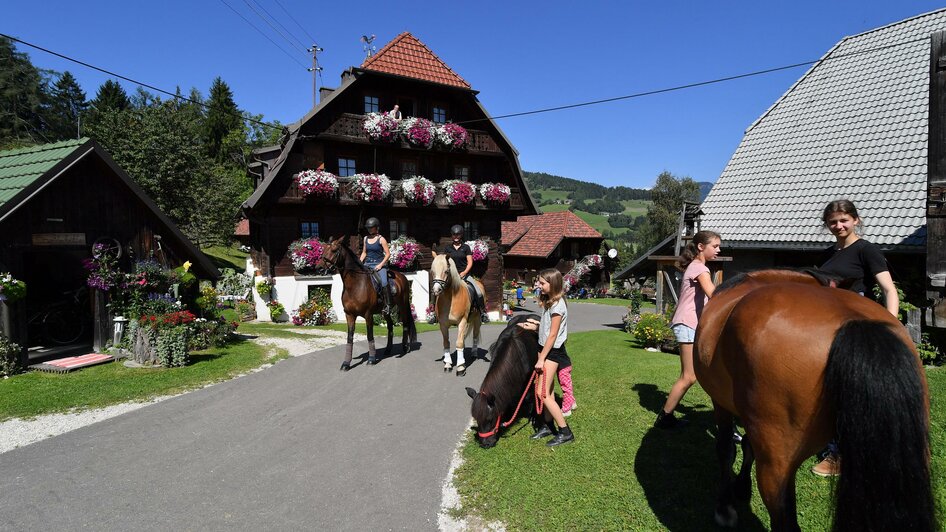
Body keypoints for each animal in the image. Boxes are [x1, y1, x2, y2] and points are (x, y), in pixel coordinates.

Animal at [318, 235, 414, 372]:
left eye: (334, 250)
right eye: (324, 249)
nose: (319, 268)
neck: (355, 284)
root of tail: (402, 277)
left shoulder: (368, 315)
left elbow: (369, 335)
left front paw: (371, 359)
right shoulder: (349, 315)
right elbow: (350, 338)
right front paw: (346, 363)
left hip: (403, 305)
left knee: (405, 323)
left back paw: (405, 348)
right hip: (385, 311)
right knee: (390, 326)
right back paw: (388, 349)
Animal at [464, 314, 540, 446]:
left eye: (490, 419)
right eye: (476, 419)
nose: (485, 444)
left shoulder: (529, 379)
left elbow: (528, 397)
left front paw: (531, 417)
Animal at [692, 270, 936, 532]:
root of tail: (855, 322)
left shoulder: (721, 403)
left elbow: (726, 449)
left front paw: (725, 506)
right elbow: (746, 444)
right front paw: (741, 488)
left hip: (776, 466)